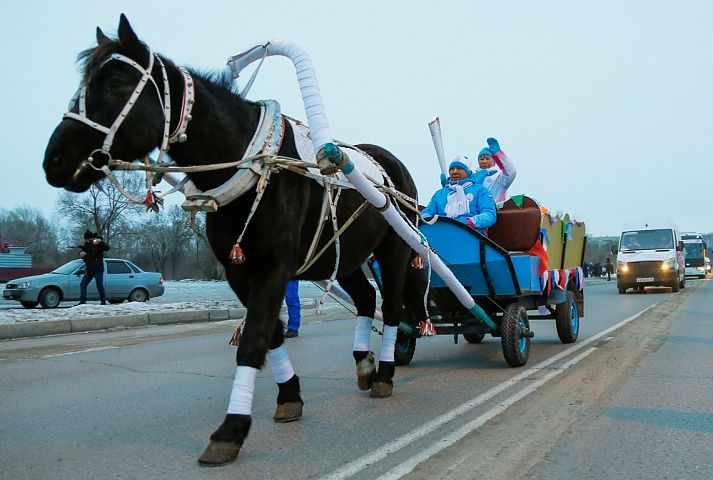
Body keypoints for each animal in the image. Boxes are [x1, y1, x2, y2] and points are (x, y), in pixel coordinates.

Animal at [43, 16, 422, 466]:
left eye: (117, 81)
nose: (54, 161)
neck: (255, 164)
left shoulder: (274, 268)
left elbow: (253, 340)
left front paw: (232, 428)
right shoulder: (239, 271)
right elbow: (271, 336)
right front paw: (288, 396)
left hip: (395, 249)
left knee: (394, 308)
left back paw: (384, 373)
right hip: (343, 257)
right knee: (365, 299)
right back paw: (364, 364)